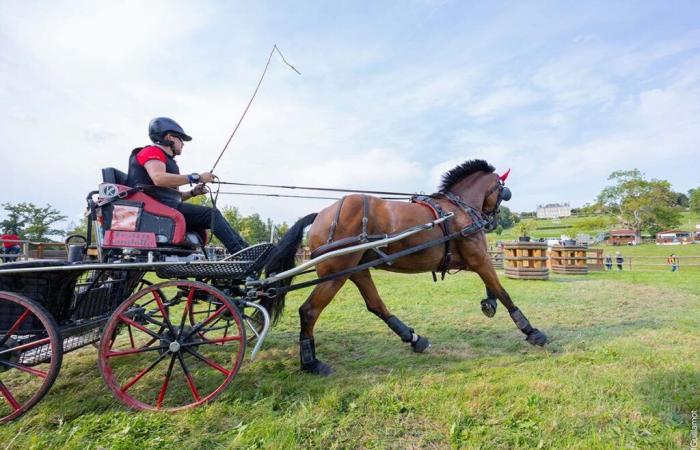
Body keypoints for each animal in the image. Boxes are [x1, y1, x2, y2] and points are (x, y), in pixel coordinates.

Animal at [262, 160, 548, 374]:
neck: (458, 210)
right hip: (334, 274)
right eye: (503, 191)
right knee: (309, 311)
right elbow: (502, 290)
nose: (492, 219)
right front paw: (532, 331)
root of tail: (322, 214)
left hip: (357, 270)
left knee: (376, 305)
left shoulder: (469, 260)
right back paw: (311, 362)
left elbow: (491, 285)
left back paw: (414, 339)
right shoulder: (478, 258)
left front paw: (489, 304)